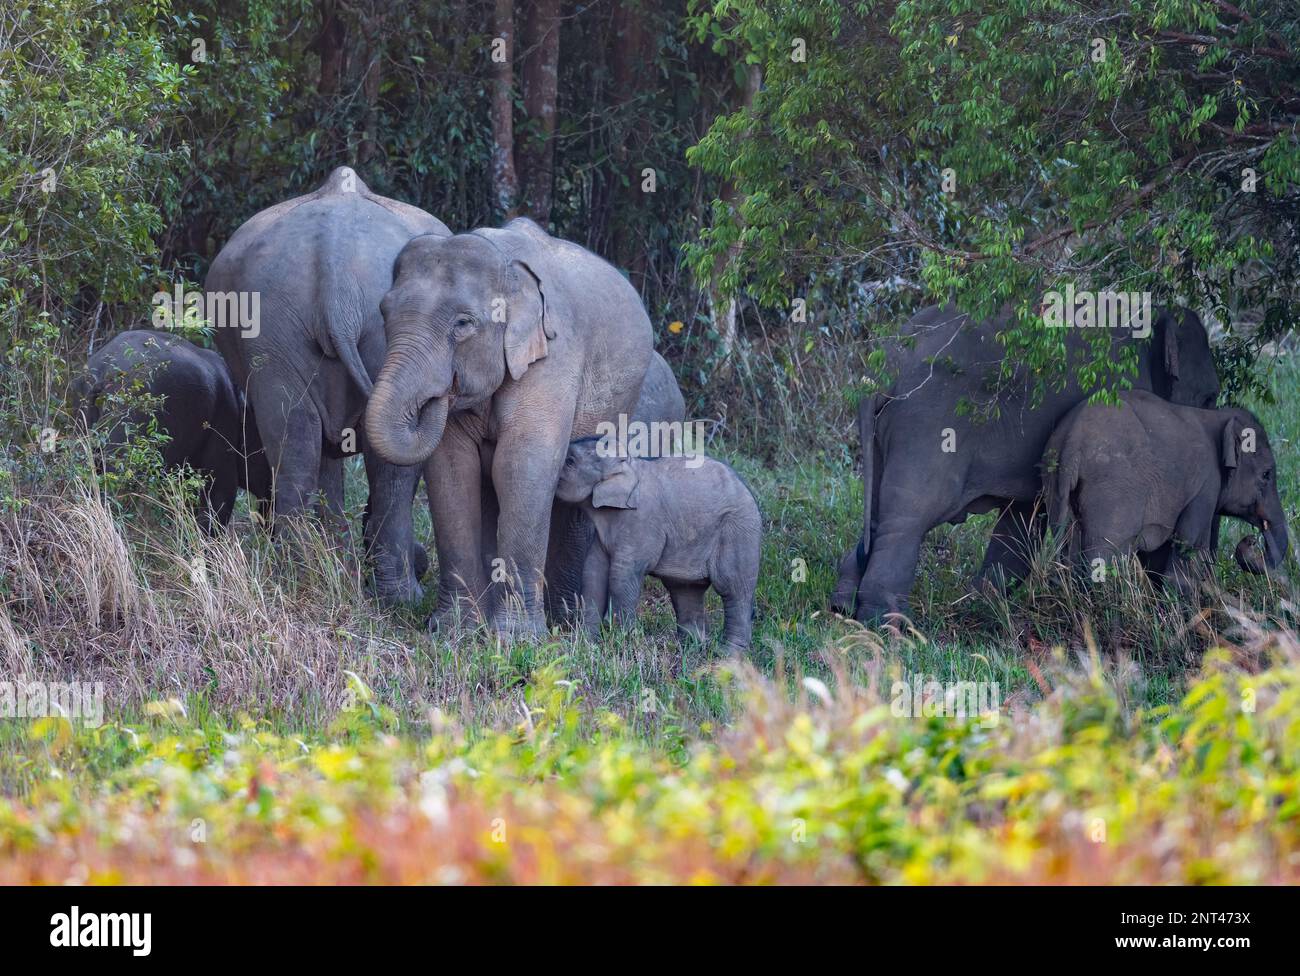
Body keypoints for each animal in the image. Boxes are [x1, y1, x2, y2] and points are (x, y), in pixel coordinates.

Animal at [202, 166, 447, 603]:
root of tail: (338, 272)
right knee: (391, 466)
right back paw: (400, 597)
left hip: (272, 326)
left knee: (294, 438)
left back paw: (302, 579)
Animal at [364, 217, 655, 636]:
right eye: (384, 313)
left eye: (463, 323)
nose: (437, 394)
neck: (505, 266)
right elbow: (453, 471)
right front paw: (454, 631)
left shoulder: (552, 357)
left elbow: (520, 467)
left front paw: (516, 638)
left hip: (621, 402)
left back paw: (564, 621)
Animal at [551, 434, 759, 649]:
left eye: (569, 461)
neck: (629, 464)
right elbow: (593, 574)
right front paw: (586, 644)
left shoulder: (641, 523)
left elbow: (622, 575)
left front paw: (623, 641)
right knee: (686, 590)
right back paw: (689, 648)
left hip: (739, 532)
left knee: (733, 588)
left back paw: (727, 655)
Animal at [1040, 387, 1284, 587]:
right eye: (1266, 474)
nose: (1251, 540)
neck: (1217, 416)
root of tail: (1073, 440)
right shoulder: (1206, 486)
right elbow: (1190, 545)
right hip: (1111, 490)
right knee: (1103, 557)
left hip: (1054, 481)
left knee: (1069, 546)